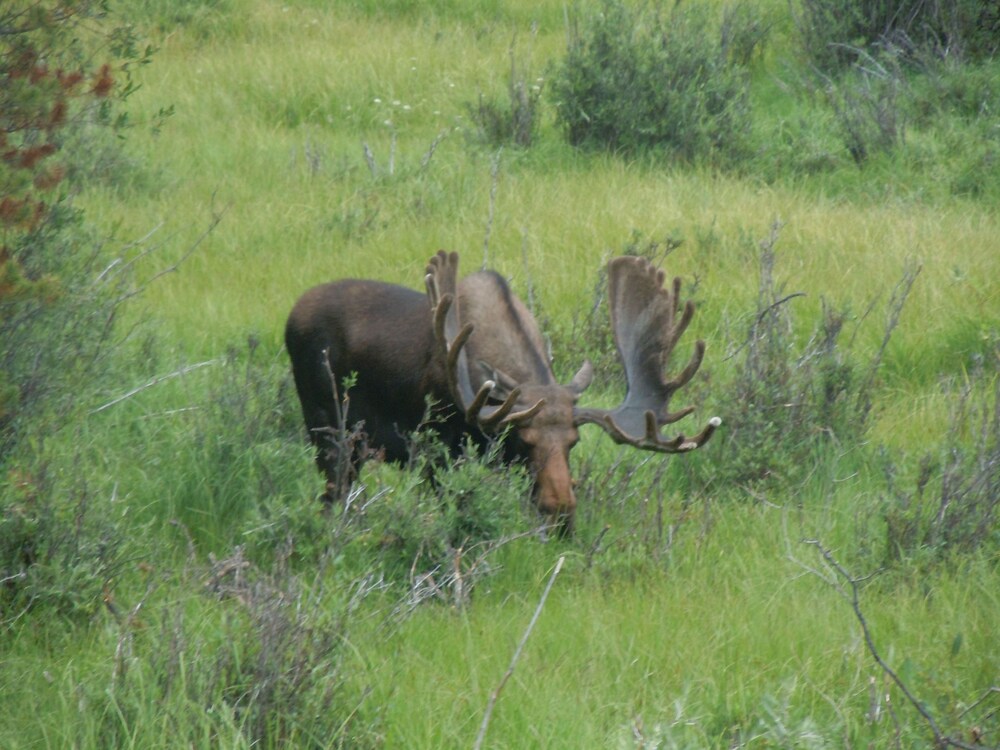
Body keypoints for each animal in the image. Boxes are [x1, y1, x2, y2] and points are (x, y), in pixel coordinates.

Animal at [286, 253, 724, 536]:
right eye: (523, 441)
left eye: (573, 441)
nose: (561, 510)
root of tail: (290, 315)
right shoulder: (440, 454)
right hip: (328, 429)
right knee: (332, 496)